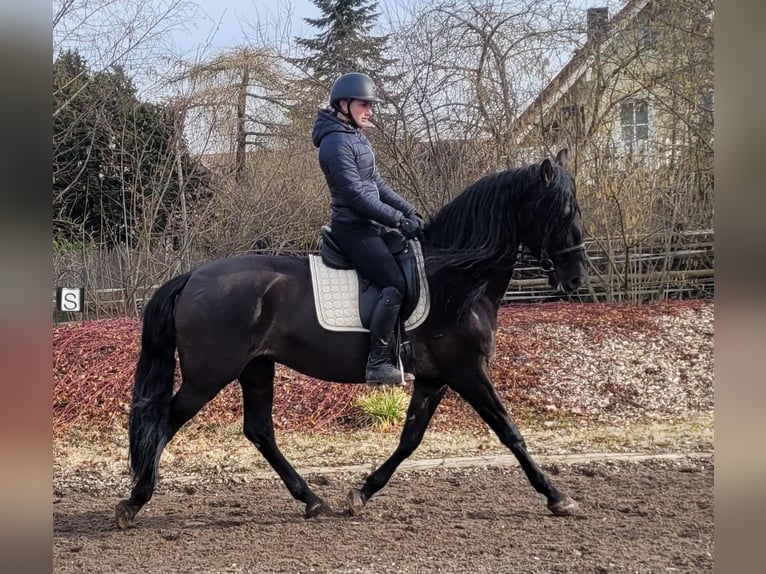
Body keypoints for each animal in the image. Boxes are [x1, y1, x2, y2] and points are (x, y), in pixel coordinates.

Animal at [115, 150, 588, 532]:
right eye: (564, 212)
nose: (576, 278)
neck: (455, 281)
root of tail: (193, 276)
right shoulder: (467, 371)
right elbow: (510, 432)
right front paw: (556, 496)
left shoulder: (435, 378)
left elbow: (410, 439)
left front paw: (361, 493)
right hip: (209, 376)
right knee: (166, 422)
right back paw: (134, 502)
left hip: (255, 368)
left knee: (259, 431)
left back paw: (312, 501)